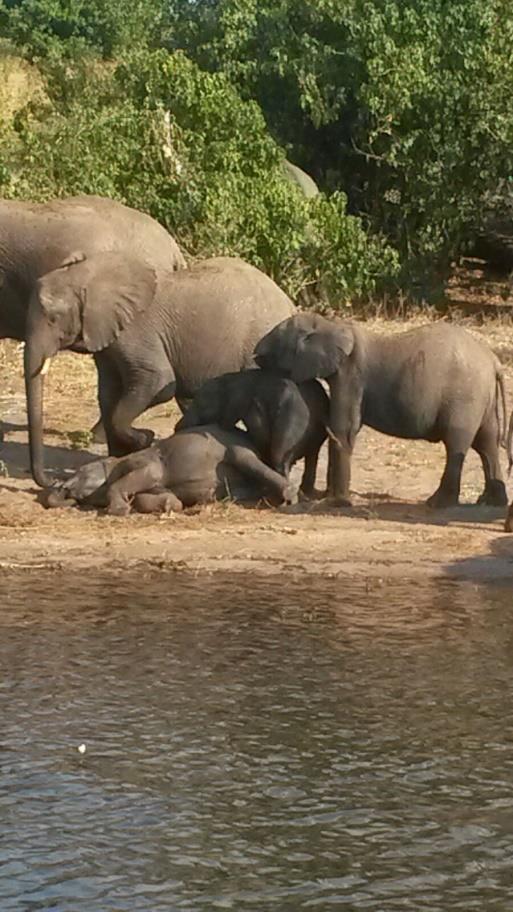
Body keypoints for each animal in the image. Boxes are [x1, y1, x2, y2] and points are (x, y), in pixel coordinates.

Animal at [25, 253, 296, 488]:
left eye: (53, 318)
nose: (52, 481)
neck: (89, 276)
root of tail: (290, 305)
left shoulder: (135, 333)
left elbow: (157, 383)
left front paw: (144, 438)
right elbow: (108, 393)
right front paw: (118, 457)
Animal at [46, 426, 300, 512]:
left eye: (80, 472)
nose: (61, 486)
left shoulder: (143, 461)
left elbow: (149, 474)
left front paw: (120, 510)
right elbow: (150, 496)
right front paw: (172, 505)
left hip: (234, 447)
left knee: (246, 459)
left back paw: (288, 496)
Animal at [176, 368, 328, 496]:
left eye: (200, 405)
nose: (176, 428)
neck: (232, 378)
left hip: (294, 421)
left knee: (280, 456)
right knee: (311, 454)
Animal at [254, 314, 510, 510]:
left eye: (277, 335)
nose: (255, 354)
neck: (331, 325)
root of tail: (494, 361)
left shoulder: (351, 376)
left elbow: (343, 431)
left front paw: (336, 503)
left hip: (465, 398)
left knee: (457, 443)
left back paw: (437, 504)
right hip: (481, 399)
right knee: (487, 443)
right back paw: (491, 502)